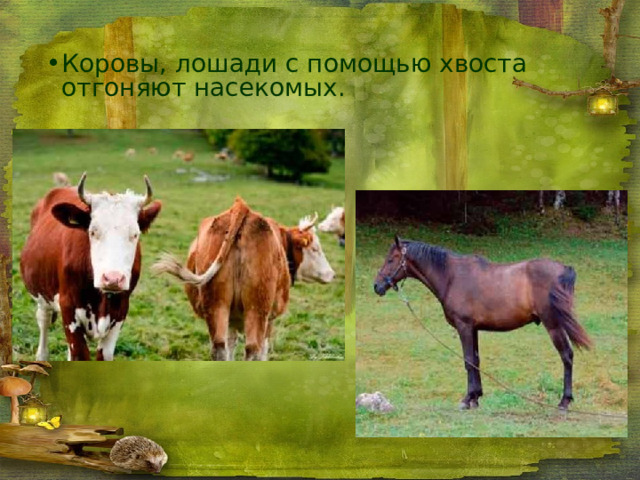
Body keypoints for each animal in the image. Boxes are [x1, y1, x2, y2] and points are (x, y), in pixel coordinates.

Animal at [19, 173, 162, 361]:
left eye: (135, 234)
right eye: (93, 232)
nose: (113, 279)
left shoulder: (121, 311)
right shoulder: (68, 309)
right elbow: (79, 354)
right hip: (42, 296)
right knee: (43, 322)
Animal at [152, 197, 333, 360]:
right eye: (315, 248)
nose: (332, 274)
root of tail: (241, 207)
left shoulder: (232, 319)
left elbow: (230, 346)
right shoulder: (270, 319)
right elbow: (263, 350)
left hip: (217, 304)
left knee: (220, 348)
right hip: (257, 307)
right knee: (253, 350)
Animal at [373, 235, 592, 411]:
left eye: (391, 259)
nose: (377, 286)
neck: (451, 275)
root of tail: (564, 269)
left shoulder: (464, 326)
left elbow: (468, 360)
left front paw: (467, 399)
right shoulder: (474, 329)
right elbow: (475, 360)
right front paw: (476, 397)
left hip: (554, 325)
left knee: (567, 356)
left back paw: (564, 401)